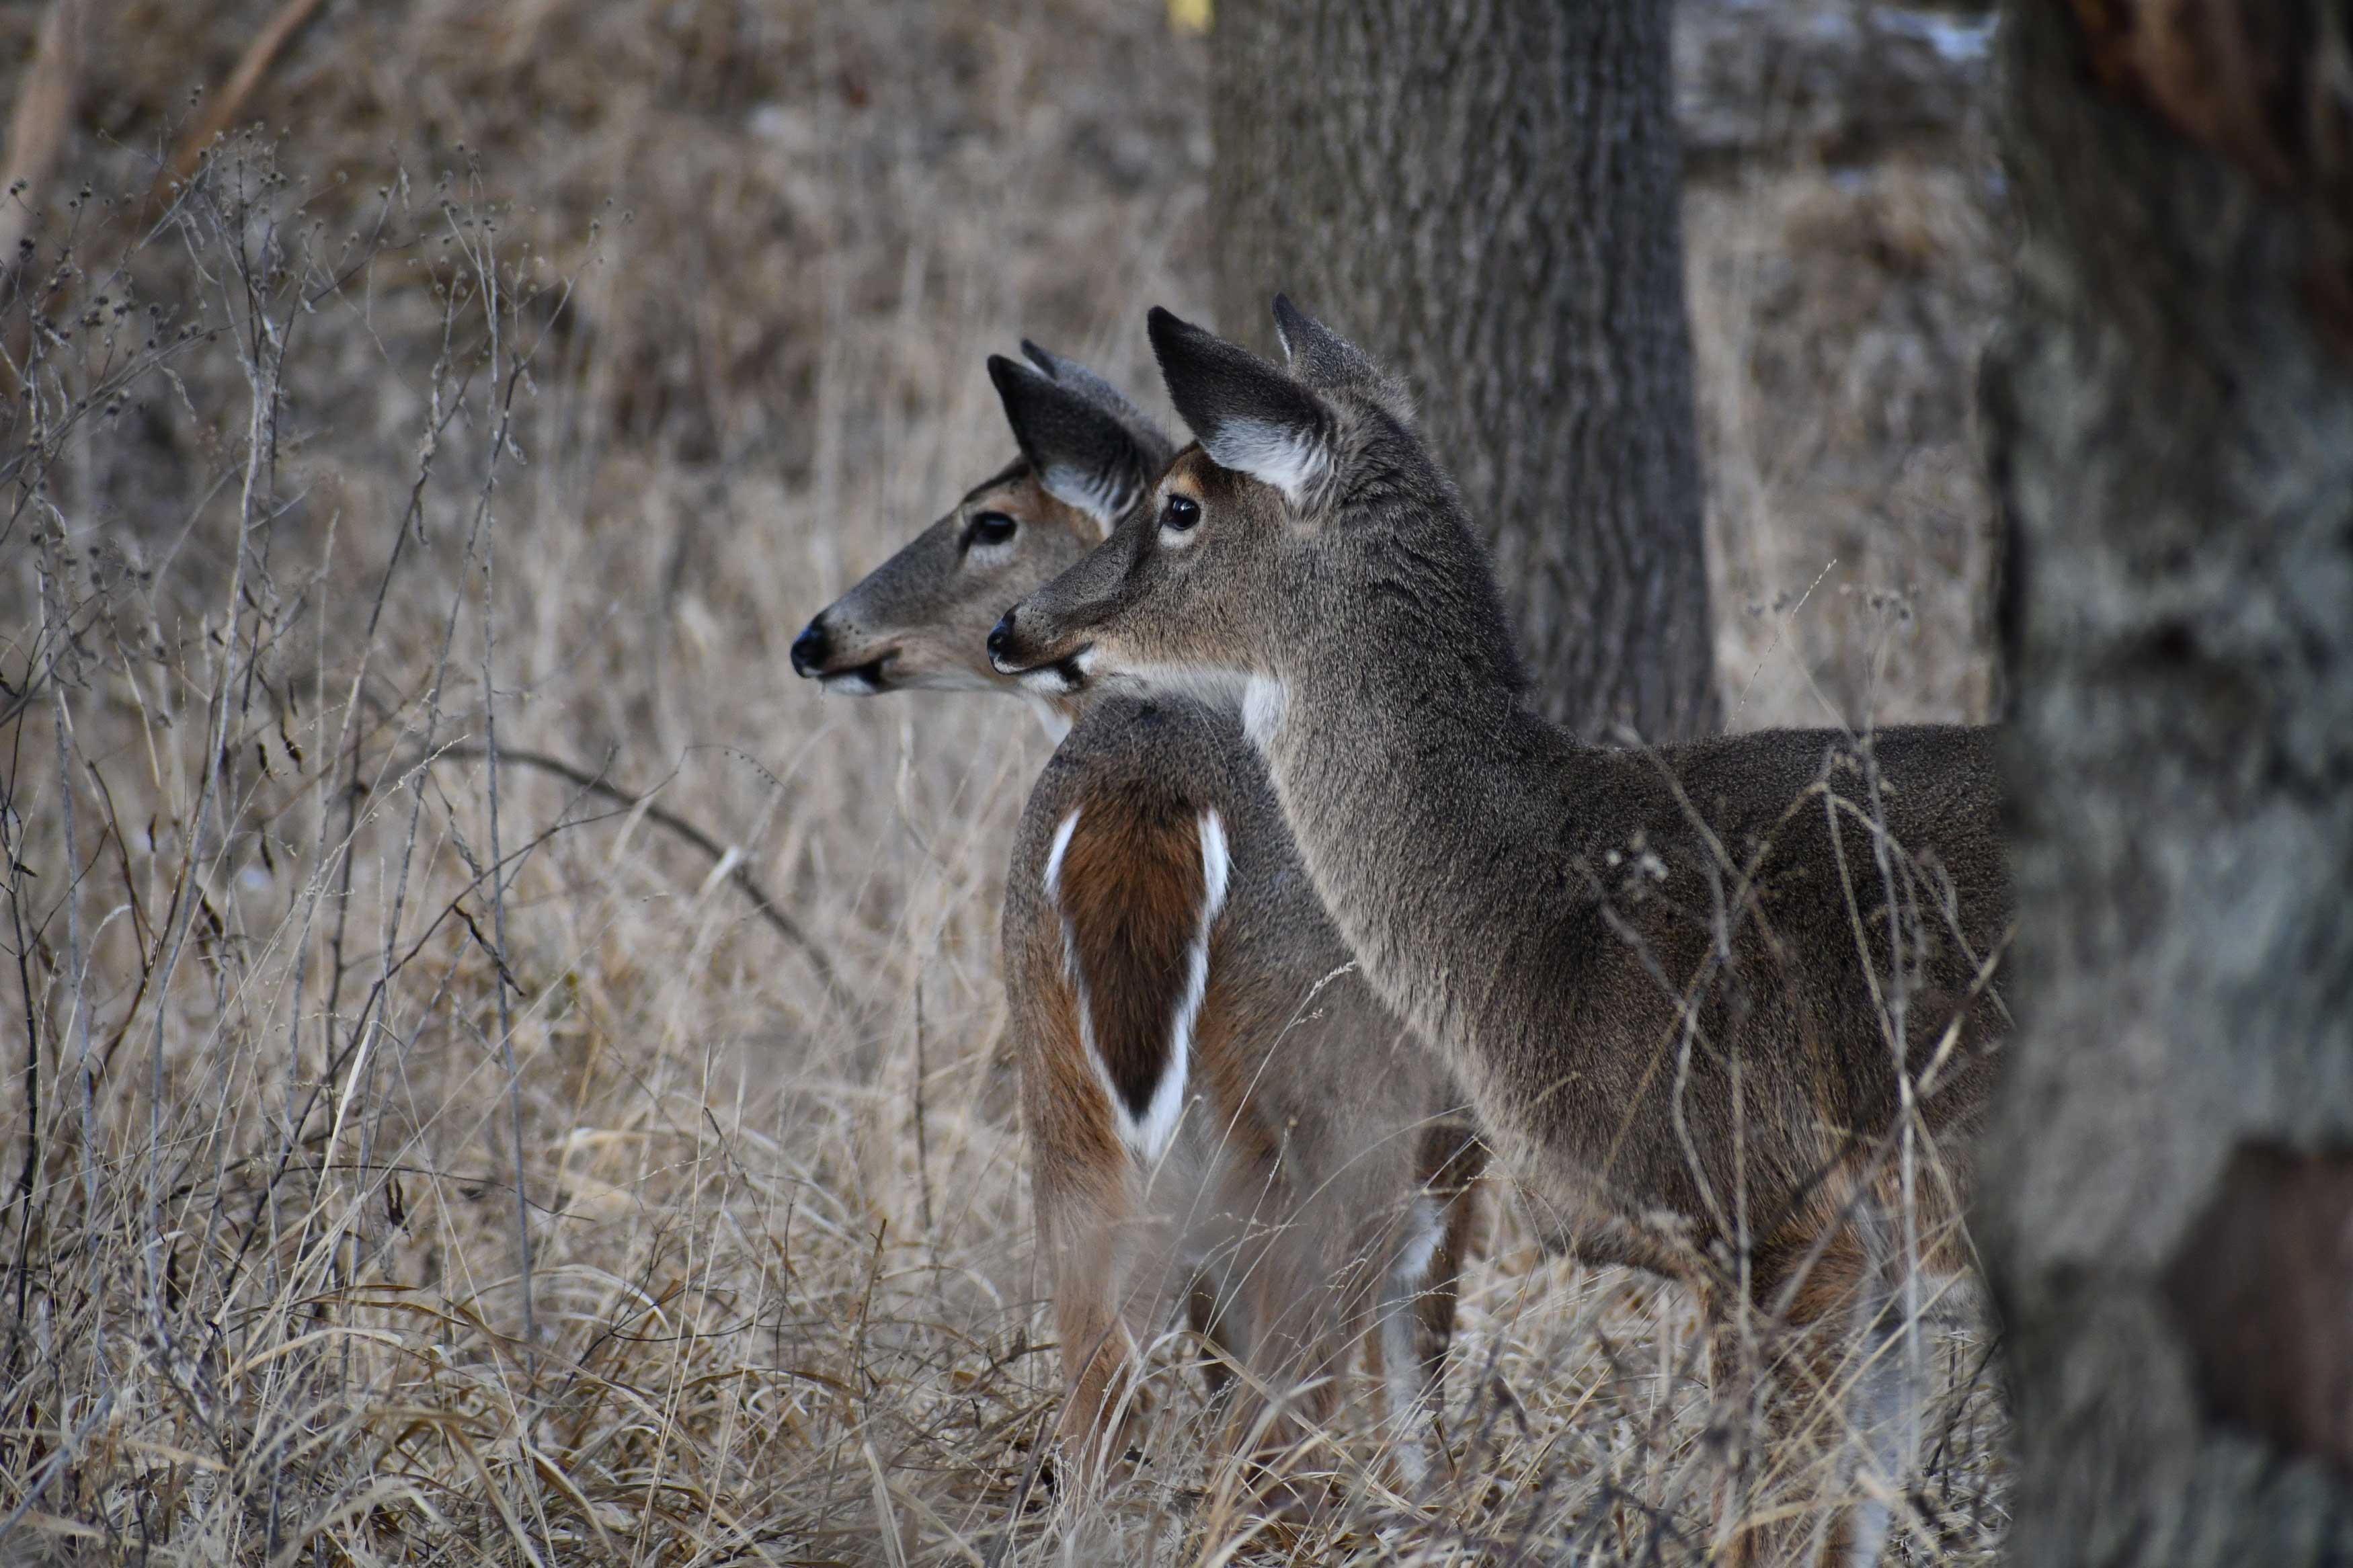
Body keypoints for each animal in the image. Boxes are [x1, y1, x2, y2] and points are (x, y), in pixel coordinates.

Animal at [791, 345, 1487, 1504]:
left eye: (991, 520)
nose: (815, 637)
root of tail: (1145, 794)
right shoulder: (1456, 1137)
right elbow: (1417, 1381)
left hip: (1062, 1095)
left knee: (1106, 1396)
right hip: (1320, 1122)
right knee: (1278, 1413)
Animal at [984, 300, 2014, 1561]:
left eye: (1181, 505)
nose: (1018, 624)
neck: (1540, 905)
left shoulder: (1769, 1196)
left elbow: (1766, 1524)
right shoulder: (1873, 1263)